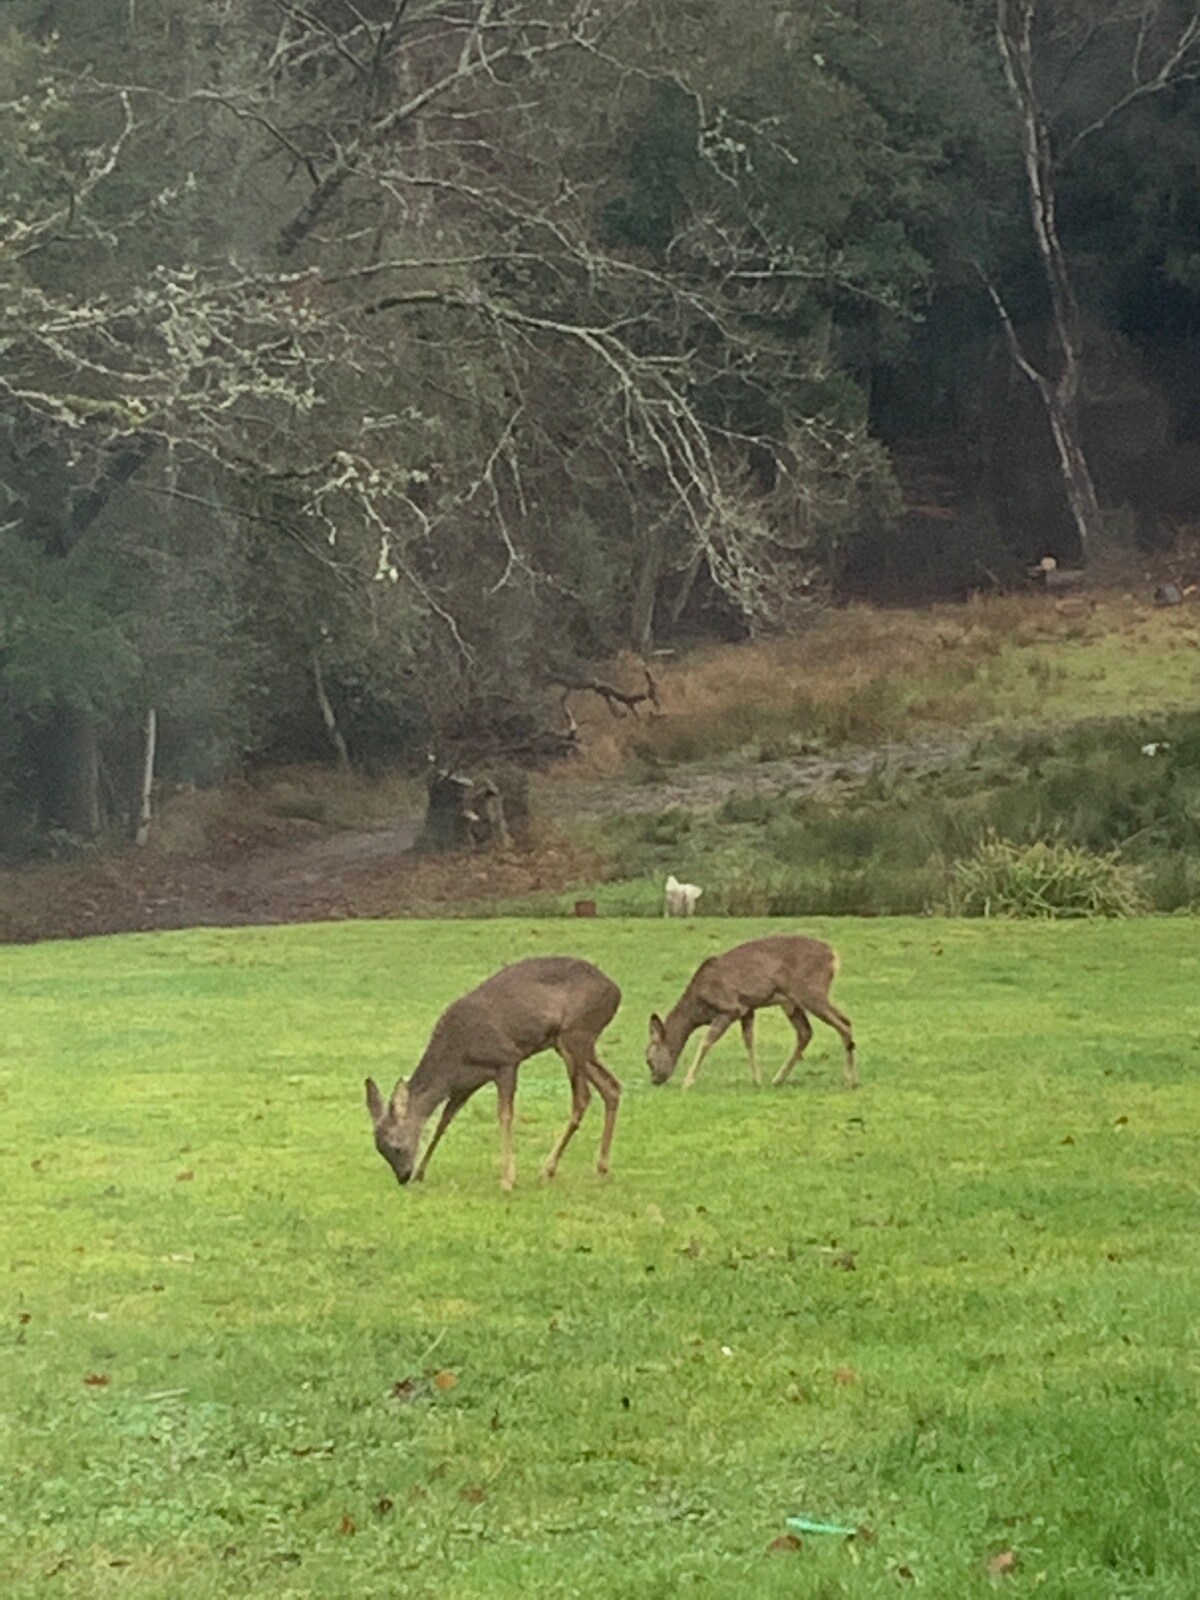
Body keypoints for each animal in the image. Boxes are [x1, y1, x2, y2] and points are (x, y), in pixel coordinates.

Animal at [366, 947, 624, 1190]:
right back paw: (601, 1167)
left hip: (576, 1032)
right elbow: (444, 1120)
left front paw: (508, 1179)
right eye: (379, 1149)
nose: (403, 1177)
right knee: (611, 1086)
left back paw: (548, 1169)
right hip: (568, 1042)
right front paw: (421, 1173)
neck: (455, 1057)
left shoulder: (506, 1060)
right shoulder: (465, 1084)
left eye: (397, 1146)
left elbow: (504, 1115)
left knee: (582, 1097)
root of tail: (615, 990)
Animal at [649, 934, 857, 1088]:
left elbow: (706, 1042)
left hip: (811, 991)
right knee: (808, 1031)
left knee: (843, 1024)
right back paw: (778, 1079)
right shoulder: (747, 1009)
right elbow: (749, 1041)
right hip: (792, 1002)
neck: (698, 1009)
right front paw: (756, 1080)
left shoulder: (729, 1008)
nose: (655, 1081)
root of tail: (833, 956)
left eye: (649, 1060)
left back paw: (849, 1080)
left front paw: (688, 1081)